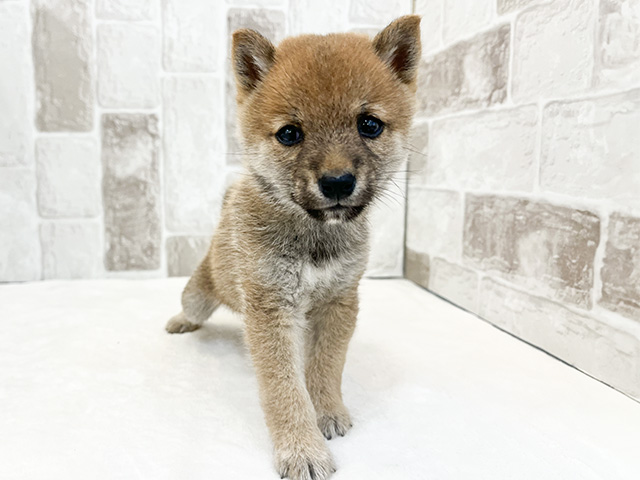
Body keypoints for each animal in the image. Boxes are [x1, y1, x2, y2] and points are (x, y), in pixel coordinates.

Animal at [168, 15, 422, 480]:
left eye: (369, 125)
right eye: (290, 133)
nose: (337, 182)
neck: (313, 236)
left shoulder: (339, 302)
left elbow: (326, 366)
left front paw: (328, 412)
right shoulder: (270, 310)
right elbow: (283, 390)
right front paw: (301, 449)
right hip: (199, 293)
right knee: (192, 307)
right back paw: (180, 323)